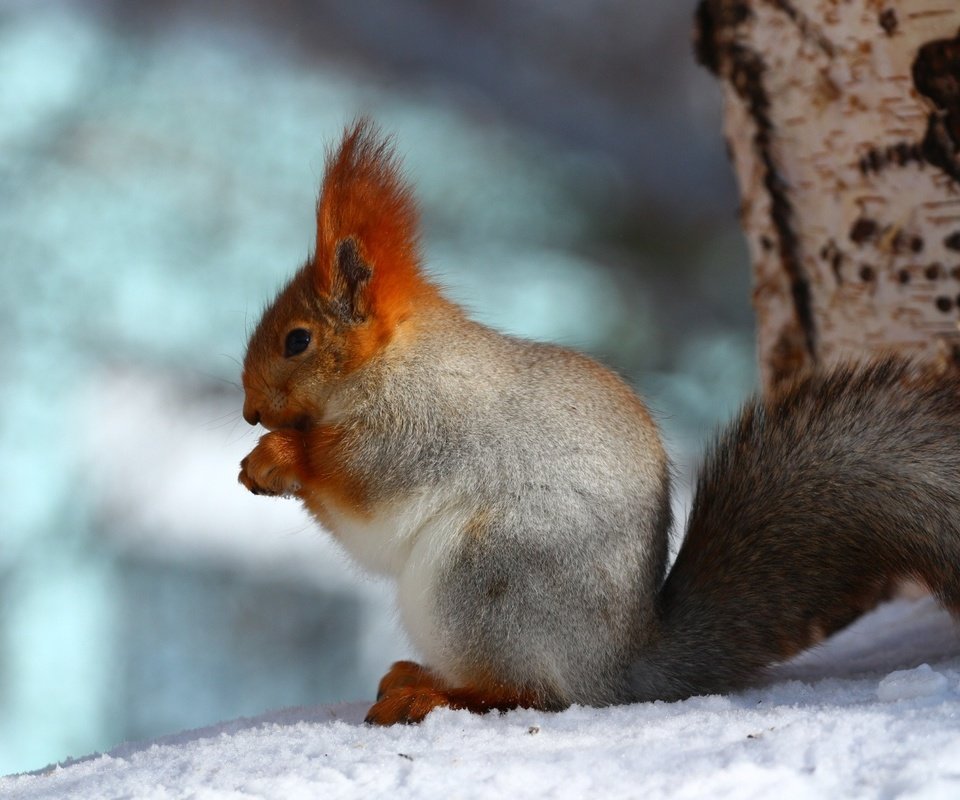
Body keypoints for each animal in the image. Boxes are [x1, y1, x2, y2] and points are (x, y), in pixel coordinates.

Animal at [238, 120, 960, 724]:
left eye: (297, 341)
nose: (249, 412)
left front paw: (279, 457)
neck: (395, 364)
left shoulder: (418, 434)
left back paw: (435, 695)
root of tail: (616, 670)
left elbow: (361, 491)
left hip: (485, 578)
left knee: (530, 692)